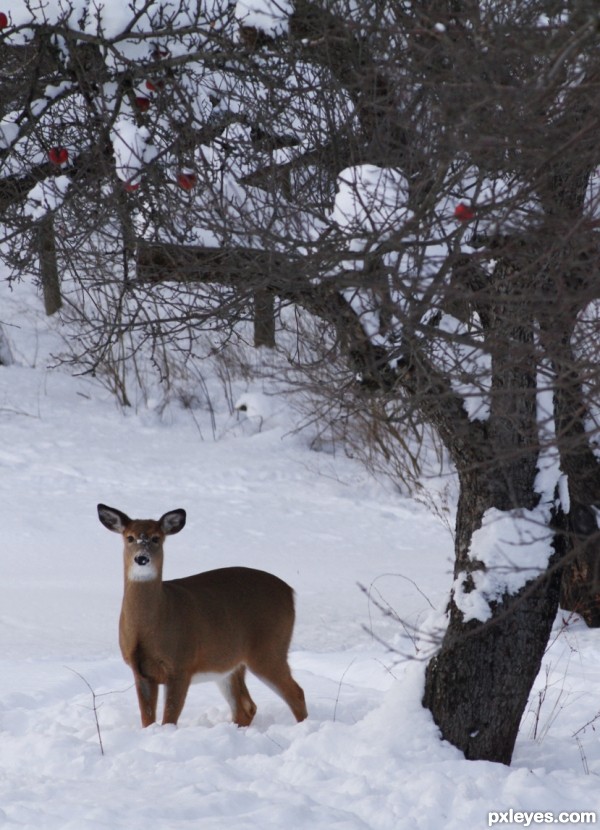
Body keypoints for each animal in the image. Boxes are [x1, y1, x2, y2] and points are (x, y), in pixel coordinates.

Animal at [97, 500, 310, 728]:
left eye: (156, 538)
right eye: (129, 537)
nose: (142, 558)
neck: (151, 626)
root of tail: (290, 592)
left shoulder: (181, 664)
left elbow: (169, 718)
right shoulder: (140, 670)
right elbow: (147, 719)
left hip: (270, 648)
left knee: (296, 693)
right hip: (230, 663)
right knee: (246, 707)